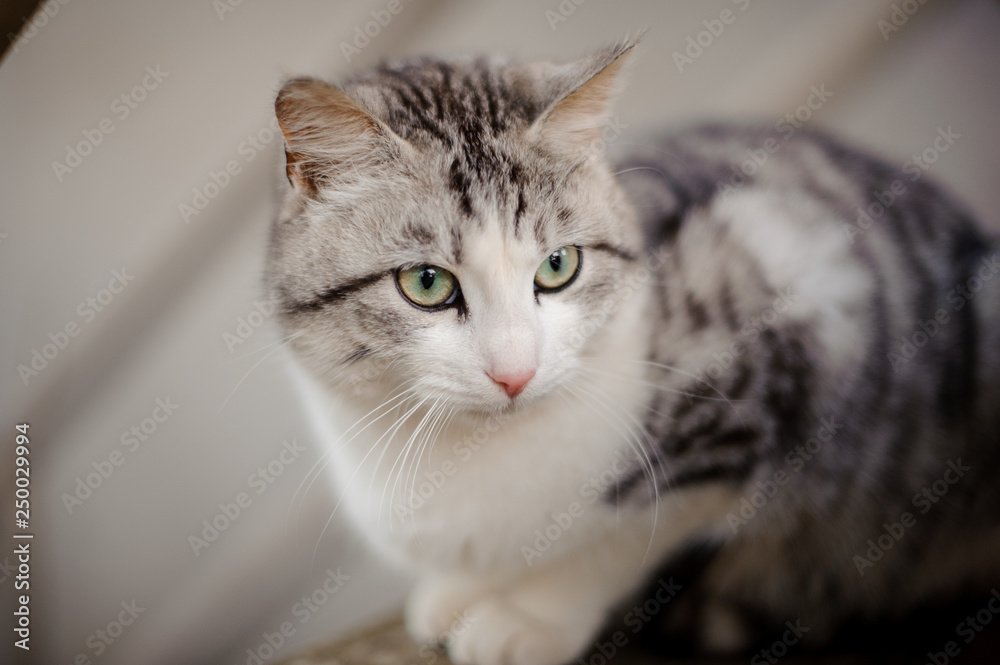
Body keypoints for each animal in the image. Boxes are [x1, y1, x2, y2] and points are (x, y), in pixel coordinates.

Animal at [266, 37, 1000, 664]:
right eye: (426, 283)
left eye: (558, 265)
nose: (515, 374)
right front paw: (460, 589)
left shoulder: (788, 329)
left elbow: (625, 532)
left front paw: (529, 616)